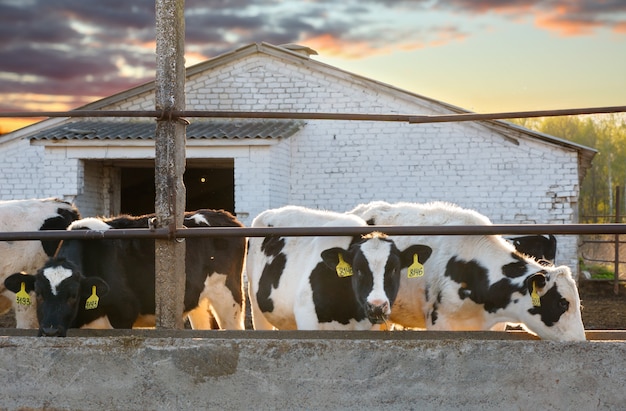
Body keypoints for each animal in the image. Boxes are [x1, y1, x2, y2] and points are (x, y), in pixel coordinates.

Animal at [3, 211, 245, 336]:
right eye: (39, 294)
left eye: (73, 295)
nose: (50, 331)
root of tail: (224, 215)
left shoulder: (124, 314)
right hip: (199, 299)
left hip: (229, 295)